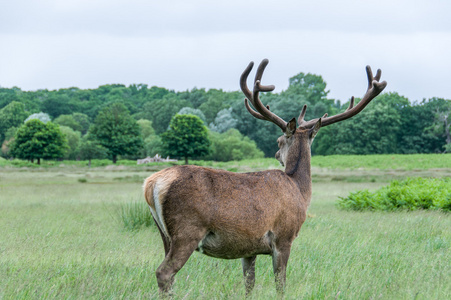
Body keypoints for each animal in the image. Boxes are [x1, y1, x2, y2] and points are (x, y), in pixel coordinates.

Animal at [145, 58, 388, 296]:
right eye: (279, 141)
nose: (276, 154)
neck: (299, 190)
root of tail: (151, 183)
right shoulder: (283, 237)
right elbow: (280, 284)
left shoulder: (248, 246)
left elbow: (249, 284)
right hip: (187, 229)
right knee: (164, 272)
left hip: (164, 233)